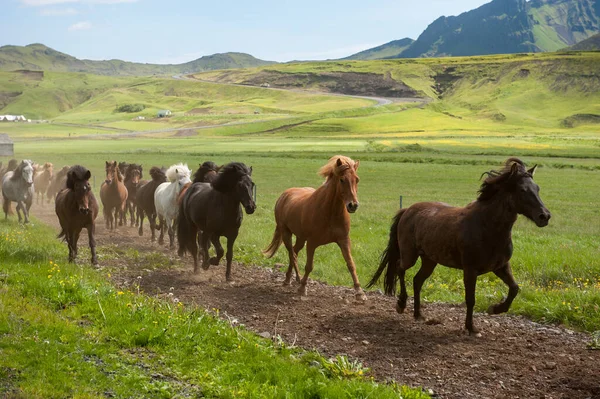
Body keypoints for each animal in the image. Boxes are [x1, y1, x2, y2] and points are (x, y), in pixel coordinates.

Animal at [264, 155, 366, 302]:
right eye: (342, 180)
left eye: (357, 179)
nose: (353, 205)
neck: (330, 212)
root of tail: (284, 195)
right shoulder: (312, 243)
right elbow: (309, 266)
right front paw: (302, 289)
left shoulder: (344, 240)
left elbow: (351, 264)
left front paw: (359, 292)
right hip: (286, 233)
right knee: (292, 254)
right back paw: (296, 280)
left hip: (301, 238)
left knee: (294, 252)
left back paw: (290, 279)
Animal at [368, 158, 552, 336]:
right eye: (522, 190)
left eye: (537, 188)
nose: (544, 216)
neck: (486, 226)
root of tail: (407, 210)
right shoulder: (470, 270)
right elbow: (470, 299)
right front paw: (471, 328)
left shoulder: (500, 266)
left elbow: (514, 288)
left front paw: (495, 309)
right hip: (410, 255)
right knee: (400, 267)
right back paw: (401, 304)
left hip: (429, 260)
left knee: (417, 280)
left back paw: (419, 315)